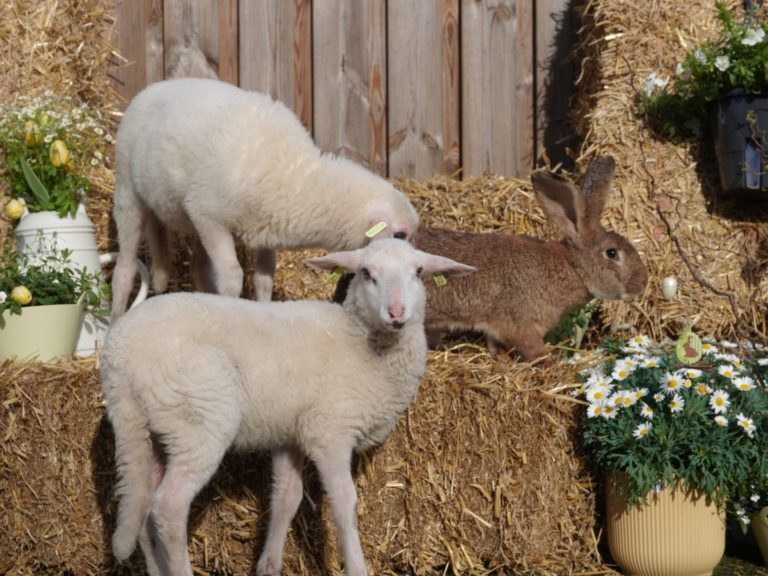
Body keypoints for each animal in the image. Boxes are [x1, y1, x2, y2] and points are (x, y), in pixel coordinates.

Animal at [100, 237, 474, 576]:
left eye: (419, 271)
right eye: (366, 273)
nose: (396, 313)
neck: (361, 341)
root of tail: (119, 354)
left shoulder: (289, 433)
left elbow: (286, 498)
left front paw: (269, 564)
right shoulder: (328, 431)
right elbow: (345, 502)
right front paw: (356, 566)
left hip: (152, 430)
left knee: (144, 513)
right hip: (200, 419)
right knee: (168, 509)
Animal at [110, 76, 416, 318]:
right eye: (400, 234)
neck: (296, 179)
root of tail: (156, 85)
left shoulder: (265, 230)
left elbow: (264, 279)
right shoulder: (209, 216)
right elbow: (233, 277)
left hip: (185, 216)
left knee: (197, 265)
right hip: (128, 190)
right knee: (124, 269)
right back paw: (115, 320)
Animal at [412, 153, 644, 360]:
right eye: (612, 253)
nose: (642, 285)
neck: (572, 267)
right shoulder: (521, 323)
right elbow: (531, 348)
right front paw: (548, 362)